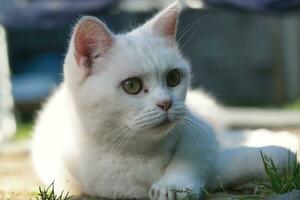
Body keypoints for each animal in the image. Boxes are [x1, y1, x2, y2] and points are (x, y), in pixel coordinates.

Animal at [31, 2, 298, 199]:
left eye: (173, 78)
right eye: (131, 86)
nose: (166, 103)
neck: (144, 151)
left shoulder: (199, 129)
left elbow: (198, 155)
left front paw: (174, 185)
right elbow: (225, 165)